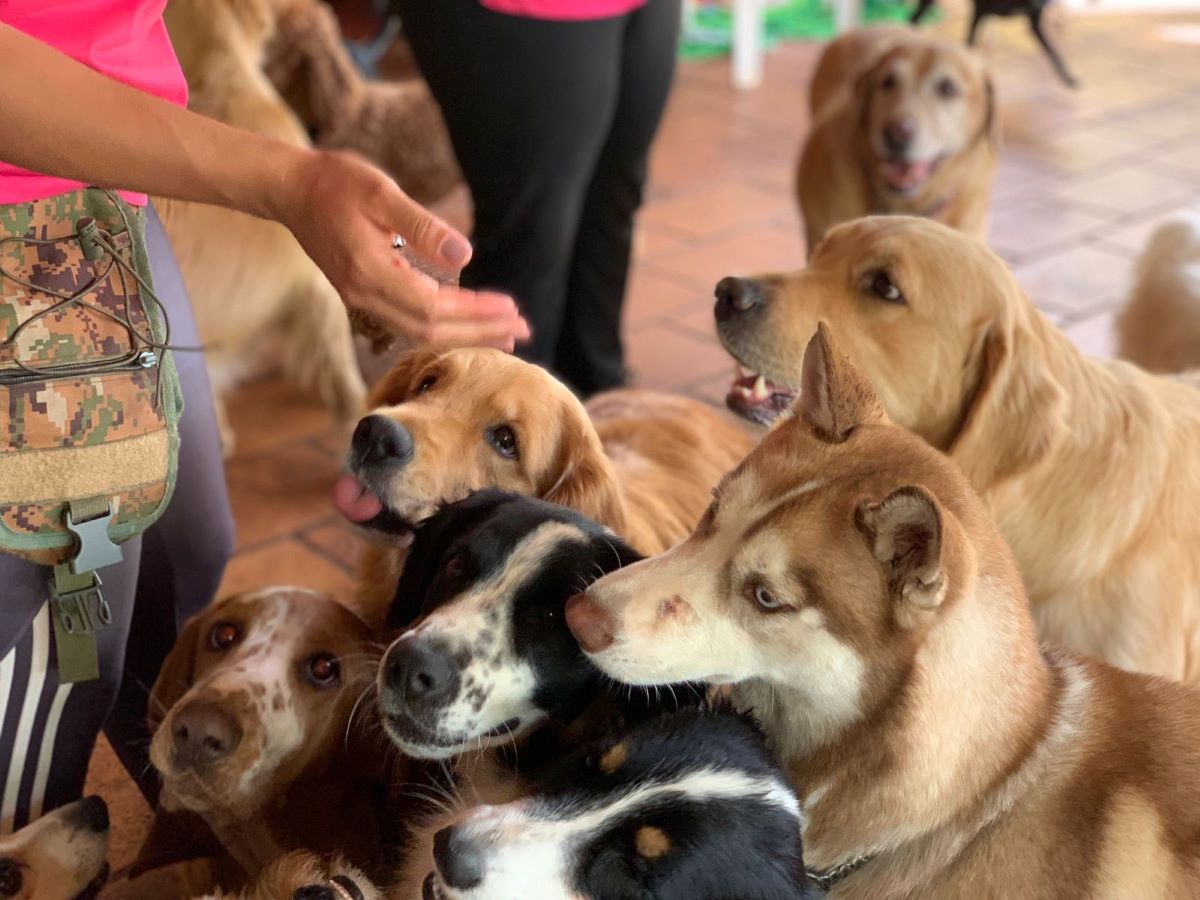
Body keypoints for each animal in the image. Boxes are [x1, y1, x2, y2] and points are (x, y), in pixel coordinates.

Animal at [907, 0, 1080, 88]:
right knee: (914, 18)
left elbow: (1053, 51)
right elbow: (969, 42)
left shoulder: (1034, 21)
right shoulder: (980, 10)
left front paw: (1068, 78)